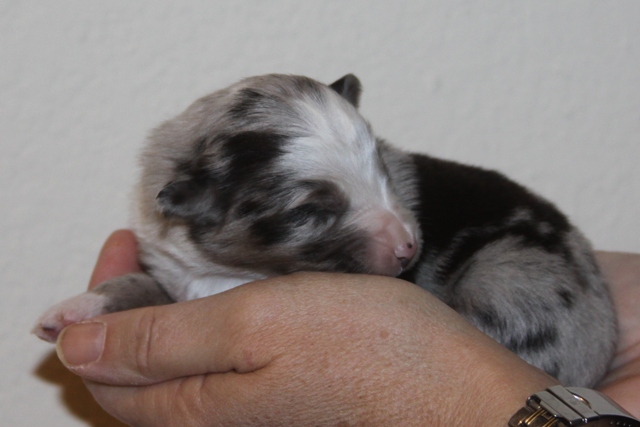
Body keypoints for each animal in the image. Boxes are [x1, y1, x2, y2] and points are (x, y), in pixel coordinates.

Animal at [34, 74, 616, 387]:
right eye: (309, 211)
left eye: (381, 170)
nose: (410, 248)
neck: (218, 266)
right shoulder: (167, 262)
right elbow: (142, 284)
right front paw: (72, 311)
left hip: (515, 284)